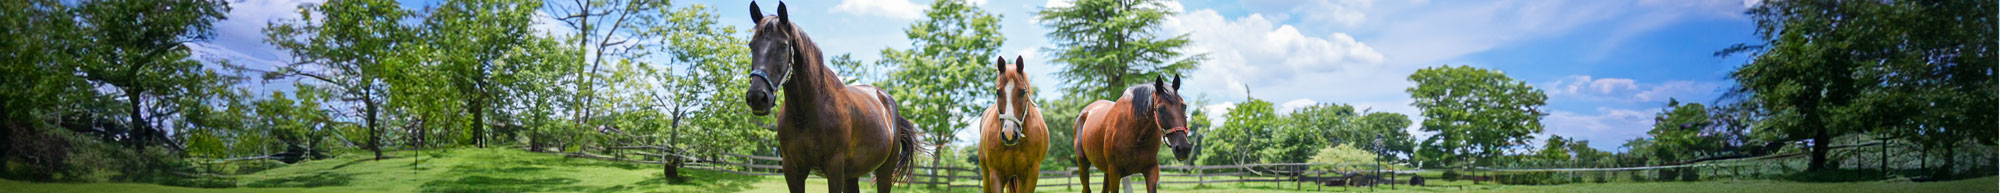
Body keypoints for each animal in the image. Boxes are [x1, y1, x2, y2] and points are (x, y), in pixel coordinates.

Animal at [744, 1, 920, 193]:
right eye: (752, 46)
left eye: (783, 46)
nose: (757, 97)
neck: (806, 114)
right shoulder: (791, 169)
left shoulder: (834, 168)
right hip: (852, 175)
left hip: (885, 171)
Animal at [980, 55, 1056, 193]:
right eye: (998, 92)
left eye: (1022, 92)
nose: (1009, 134)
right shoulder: (995, 174)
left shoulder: (1031, 174)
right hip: (986, 176)